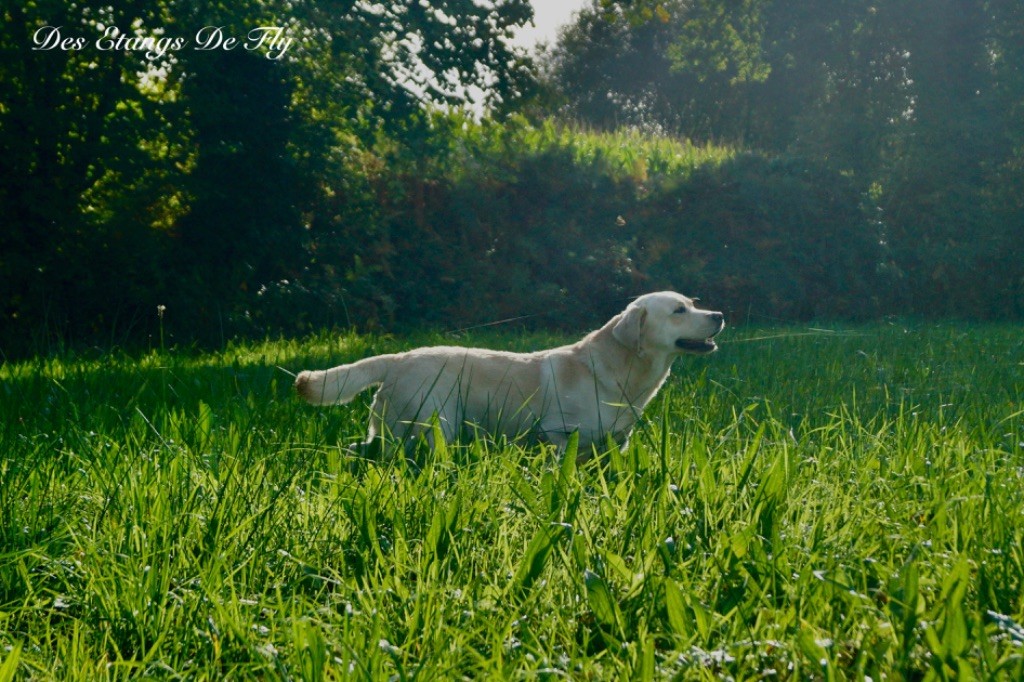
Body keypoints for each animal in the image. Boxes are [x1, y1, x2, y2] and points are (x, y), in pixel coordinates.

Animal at [294, 290, 729, 450]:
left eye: (694, 303)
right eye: (679, 310)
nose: (720, 315)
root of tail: (398, 358)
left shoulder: (614, 445)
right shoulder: (560, 435)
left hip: (394, 430)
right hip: (435, 424)